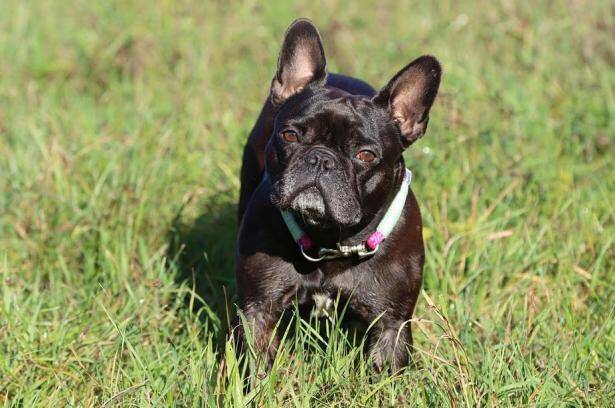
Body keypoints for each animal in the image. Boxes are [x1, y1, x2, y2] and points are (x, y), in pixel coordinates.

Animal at [233, 19, 440, 370]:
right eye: (290, 135)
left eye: (365, 155)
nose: (320, 159)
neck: (329, 239)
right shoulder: (258, 310)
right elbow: (255, 365)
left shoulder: (390, 325)